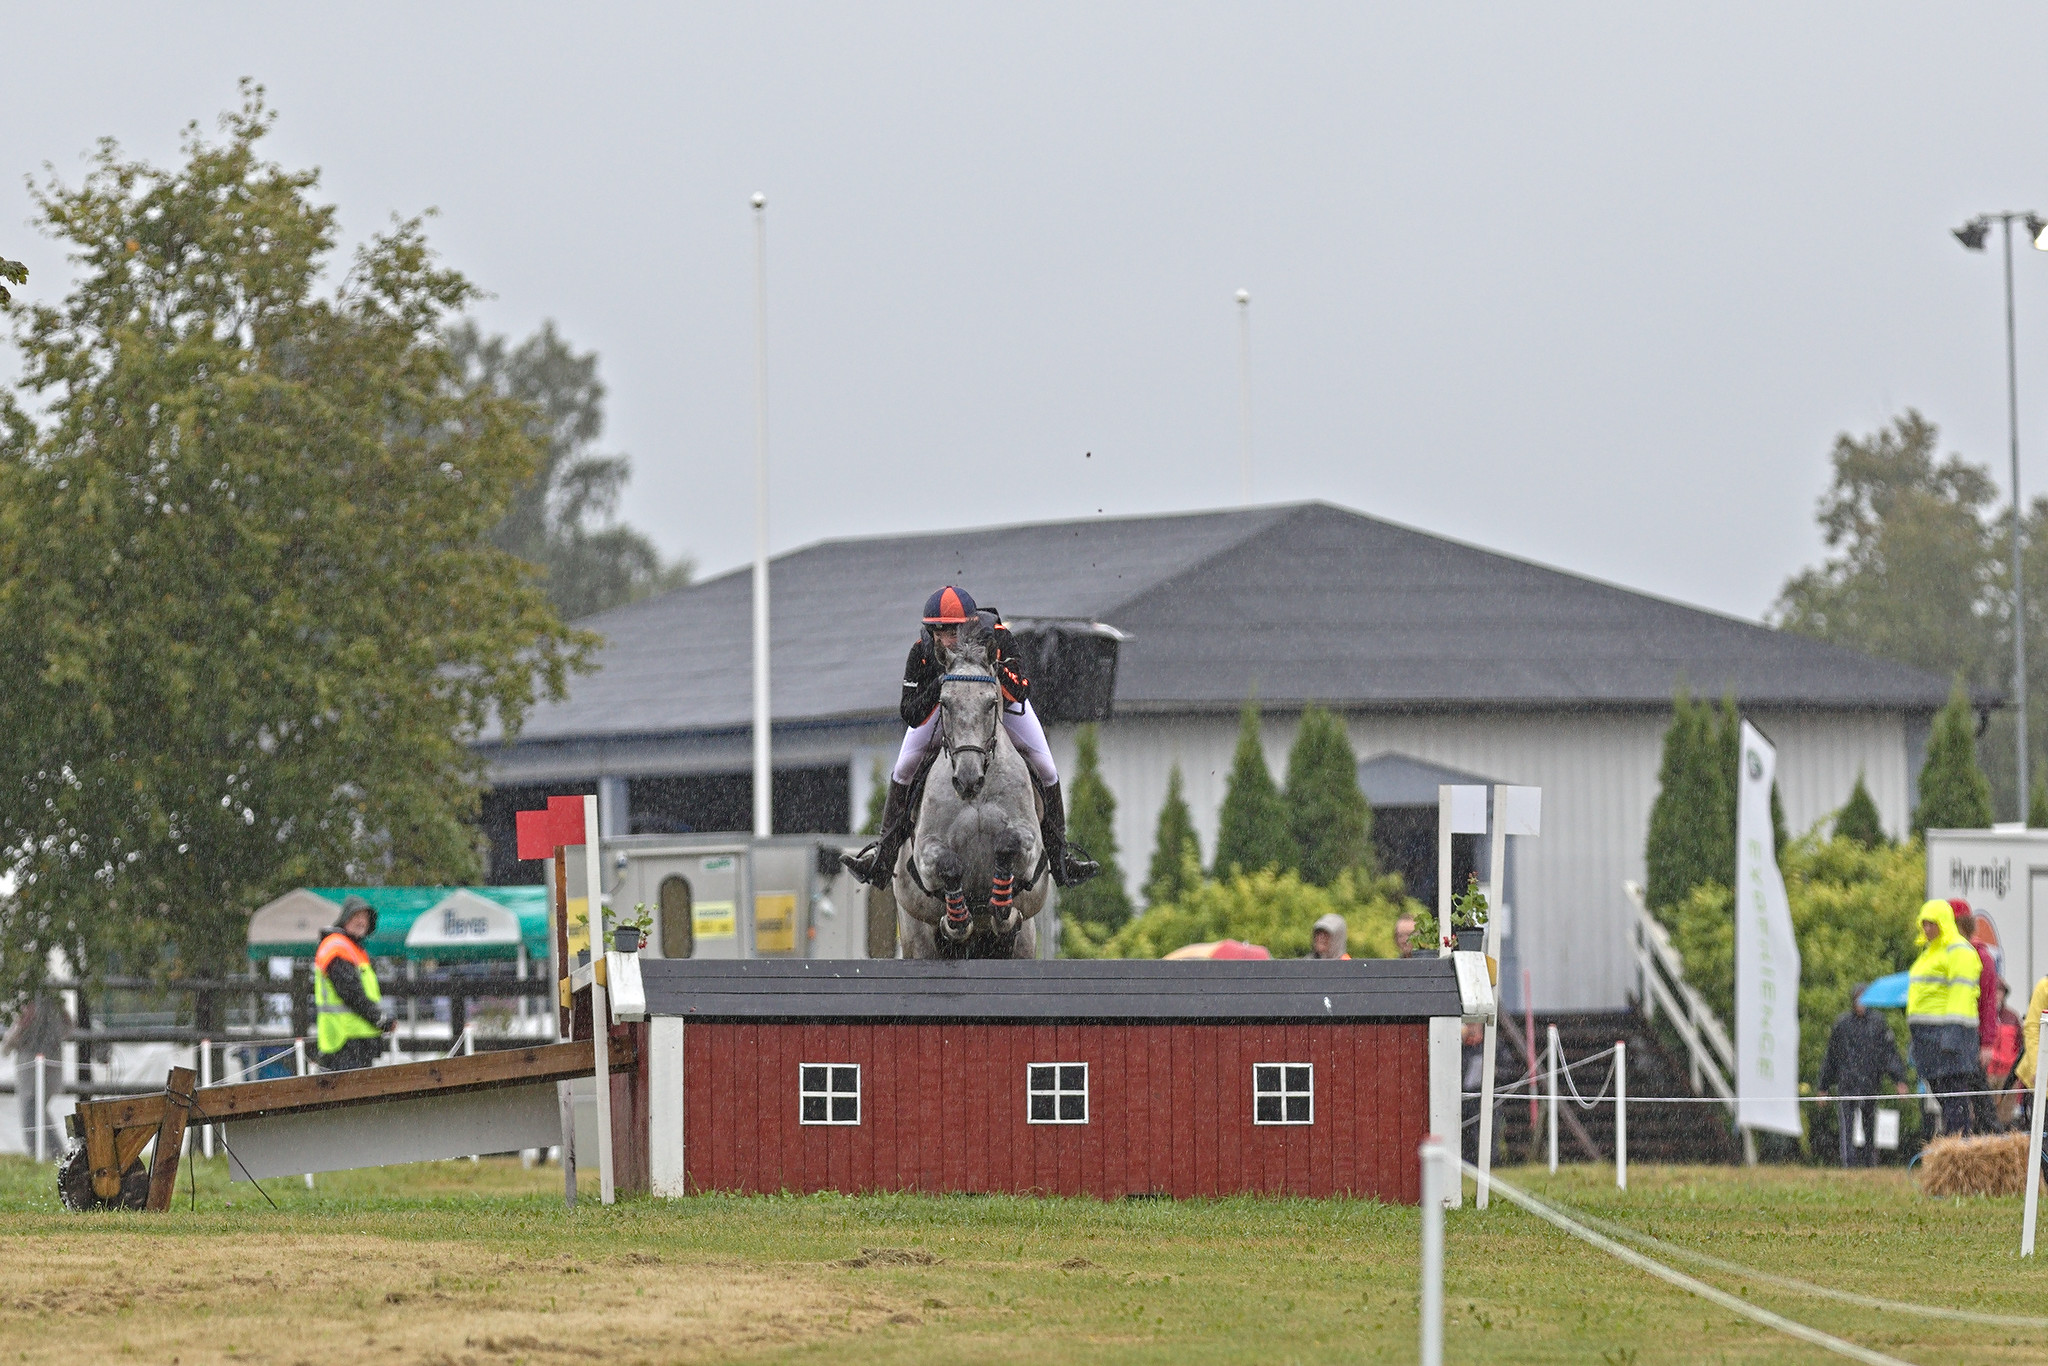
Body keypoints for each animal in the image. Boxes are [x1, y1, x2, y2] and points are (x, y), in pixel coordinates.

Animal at [901, 618, 1056, 962]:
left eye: (991, 703)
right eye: (944, 703)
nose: (967, 780)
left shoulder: (1030, 842)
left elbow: (1008, 844)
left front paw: (1000, 907)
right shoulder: (924, 853)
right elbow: (949, 864)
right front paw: (957, 921)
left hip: (1026, 942)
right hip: (916, 938)